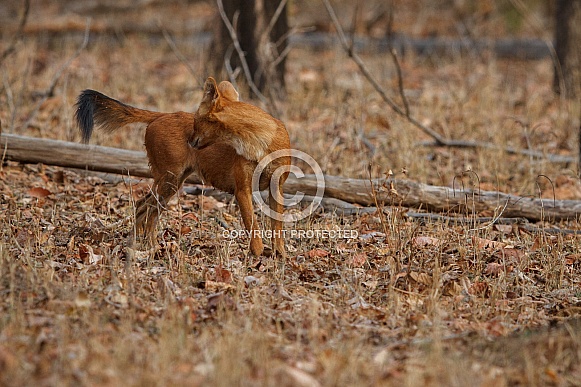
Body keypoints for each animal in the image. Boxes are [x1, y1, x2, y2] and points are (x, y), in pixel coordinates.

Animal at [74, 79, 290, 256]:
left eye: (196, 121)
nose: (190, 140)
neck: (260, 142)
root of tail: (163, 114)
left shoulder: (276, 187)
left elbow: (277, 226)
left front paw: (279, 256)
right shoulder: (242, 189)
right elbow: (252, 224)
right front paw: (257, 257)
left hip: (173, 182)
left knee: (145, 207)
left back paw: (140, 244)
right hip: (169, 179)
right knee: (146, 208)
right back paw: (148, 247)